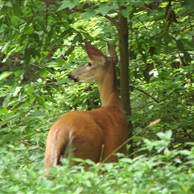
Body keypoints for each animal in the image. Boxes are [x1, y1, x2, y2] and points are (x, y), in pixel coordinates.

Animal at [44, 42, 129, 170]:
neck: (114, 105)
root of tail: (62, 133)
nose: (70, 74)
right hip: (85, 156)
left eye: (89, 63)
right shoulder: (113, 153)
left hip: (50, 155)